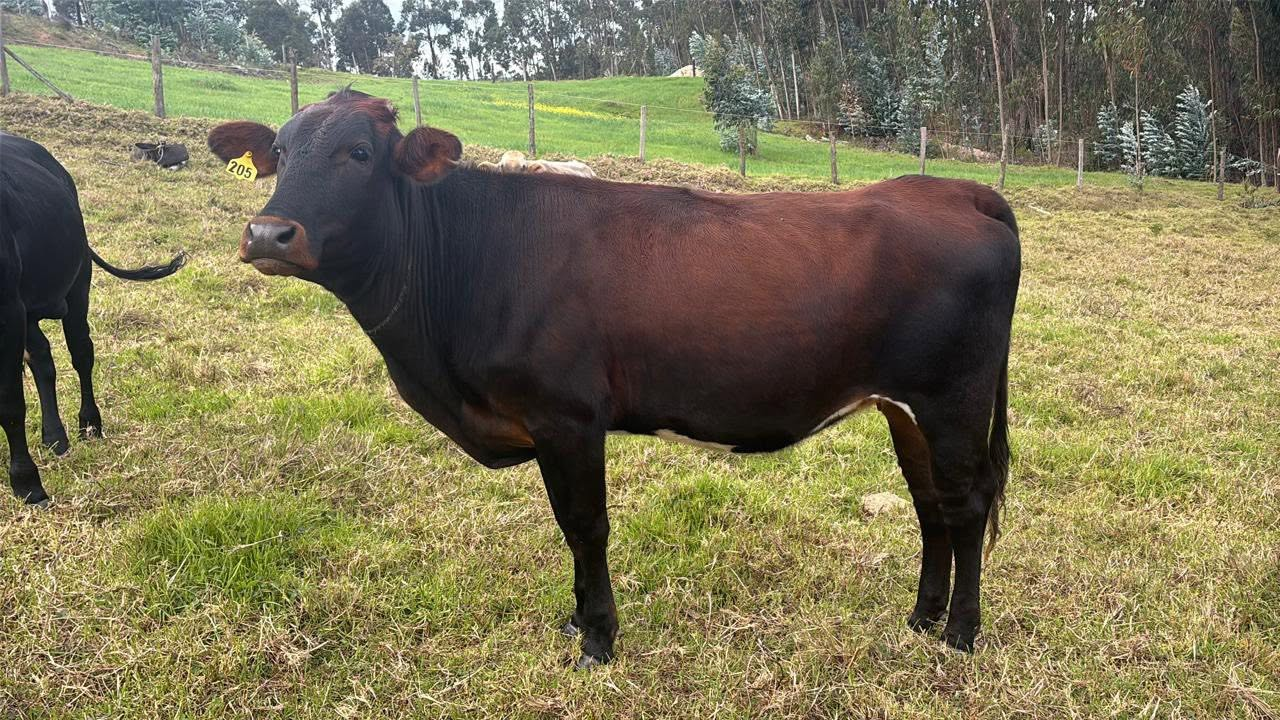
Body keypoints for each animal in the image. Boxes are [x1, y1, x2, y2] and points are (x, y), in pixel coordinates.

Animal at [0, 132, 187, 506]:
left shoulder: (9, 313)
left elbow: (10, 404)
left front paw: (27, 484)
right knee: (42, 358)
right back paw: (55, 437)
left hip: (76, 287)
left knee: (82, 354)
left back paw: (88, 425)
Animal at [207, 90, 1020, 667]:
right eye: (279, 149)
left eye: (359, 152)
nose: (269, 234)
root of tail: (954, 188)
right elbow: (568, 528)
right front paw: (576, 623)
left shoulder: (567, 417)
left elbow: (585, 525)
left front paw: (598, 640)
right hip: (905, 407)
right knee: (930, 503)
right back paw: (920, 619)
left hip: (952, 400)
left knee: (968, 501)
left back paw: (961, 634)